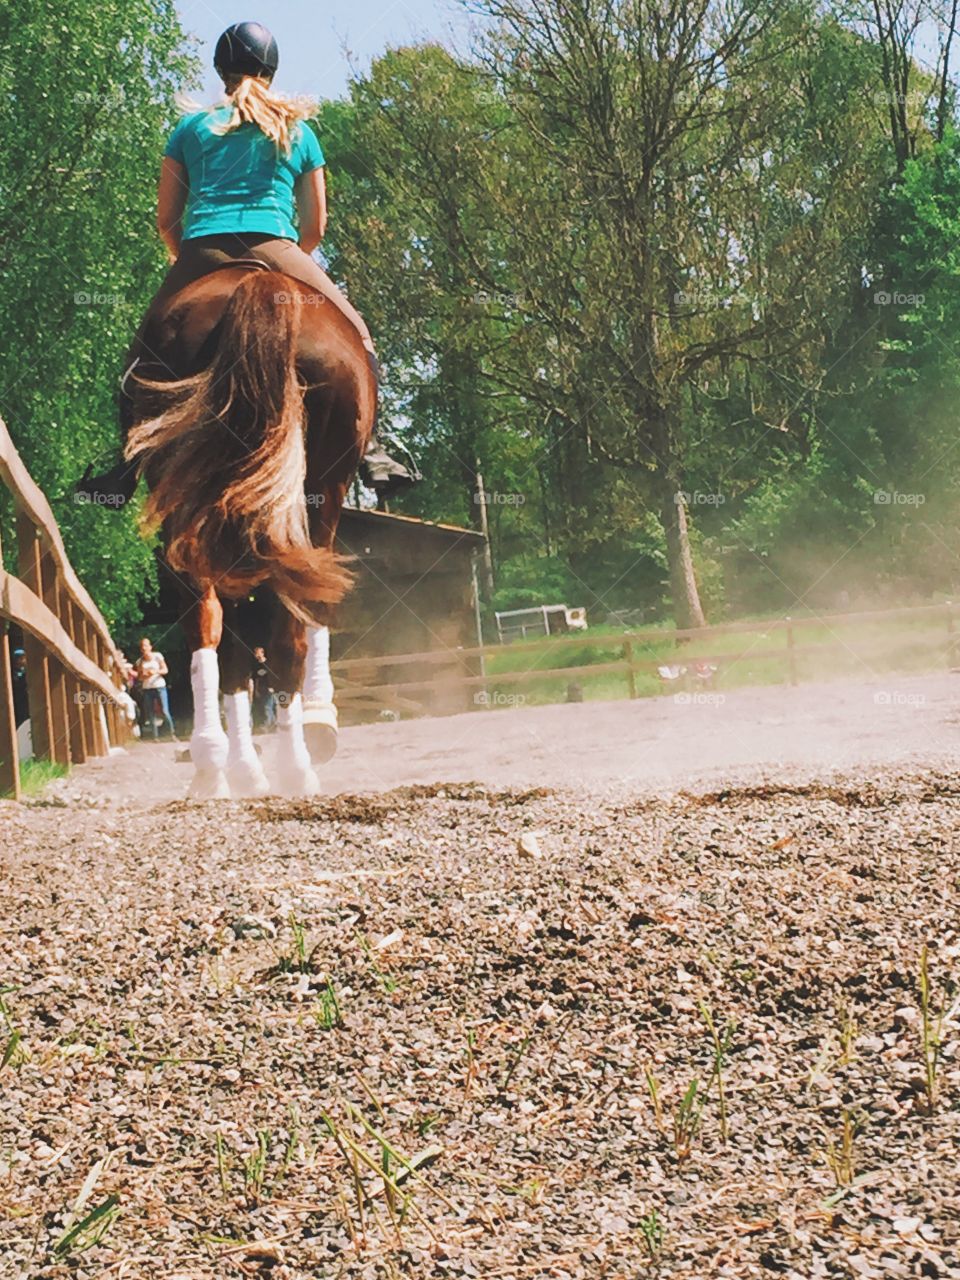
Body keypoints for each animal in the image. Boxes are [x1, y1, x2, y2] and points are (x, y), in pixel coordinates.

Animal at [123, 264, 374, 798]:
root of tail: (258, 283)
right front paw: (318, 718)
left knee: (208, 625)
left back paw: (215, 767)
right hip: (317, 497)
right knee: (289, 627)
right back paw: (290, 765)